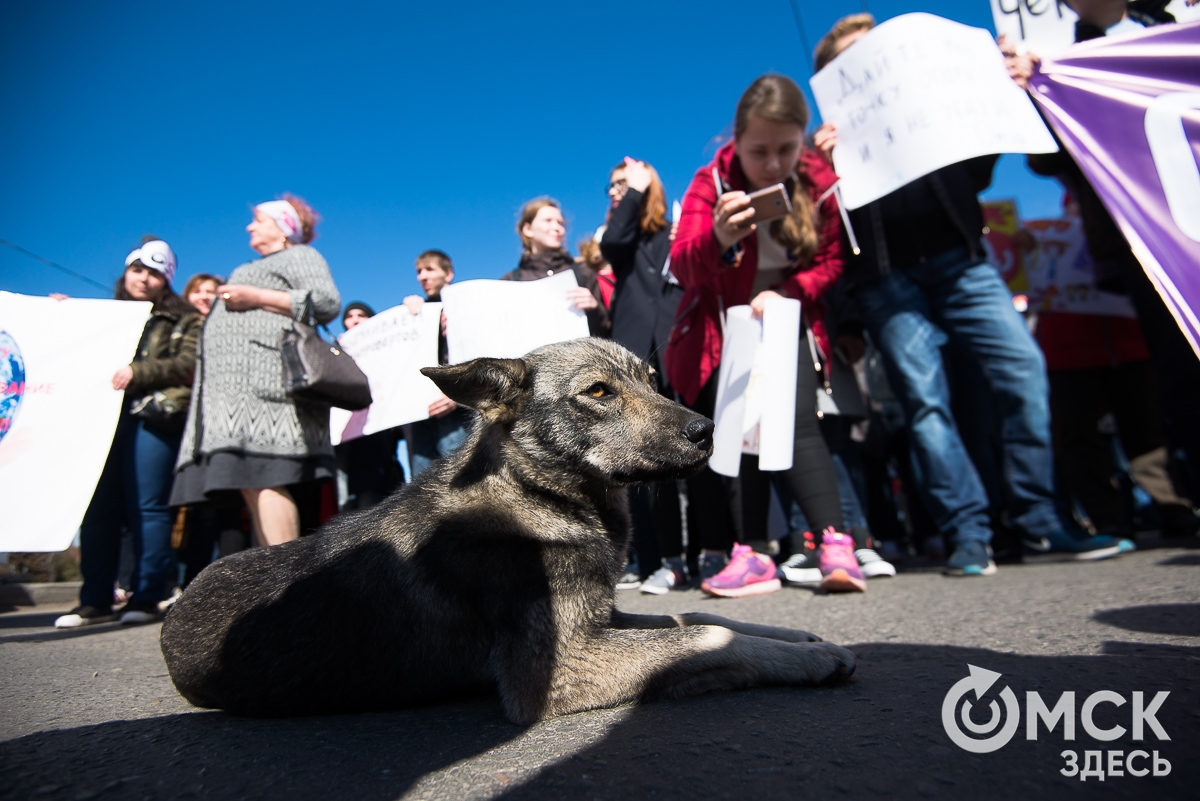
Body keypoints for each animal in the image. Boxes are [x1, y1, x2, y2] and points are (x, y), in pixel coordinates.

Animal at [162, 335, 854, 724]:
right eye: (598, 392)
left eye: (653, 382)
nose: (707, 430)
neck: (535, 490)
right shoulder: (563, 665)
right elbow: (706, 635)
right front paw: (807, 659)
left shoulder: (602, 618)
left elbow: (696, 618)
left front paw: (796, 636)